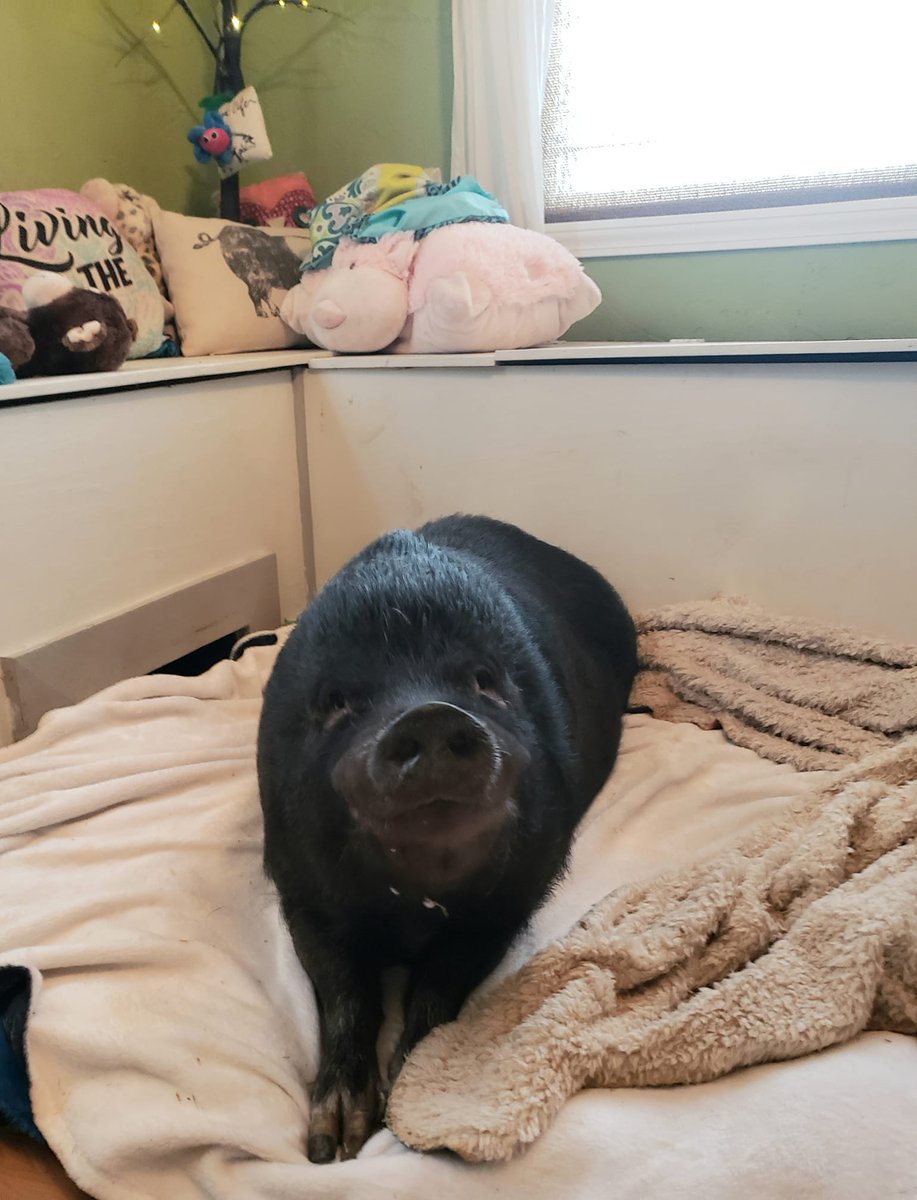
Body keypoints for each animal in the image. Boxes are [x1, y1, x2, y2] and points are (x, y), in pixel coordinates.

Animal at [254, 516, 633, 1161]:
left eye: (483, 681)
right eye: (336, 701)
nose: (429, 714)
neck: (414, 909)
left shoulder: (512, 898)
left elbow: (440, 982)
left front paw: (402, 1101)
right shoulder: (298, 886)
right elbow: (344, 988)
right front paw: (336, 1143)